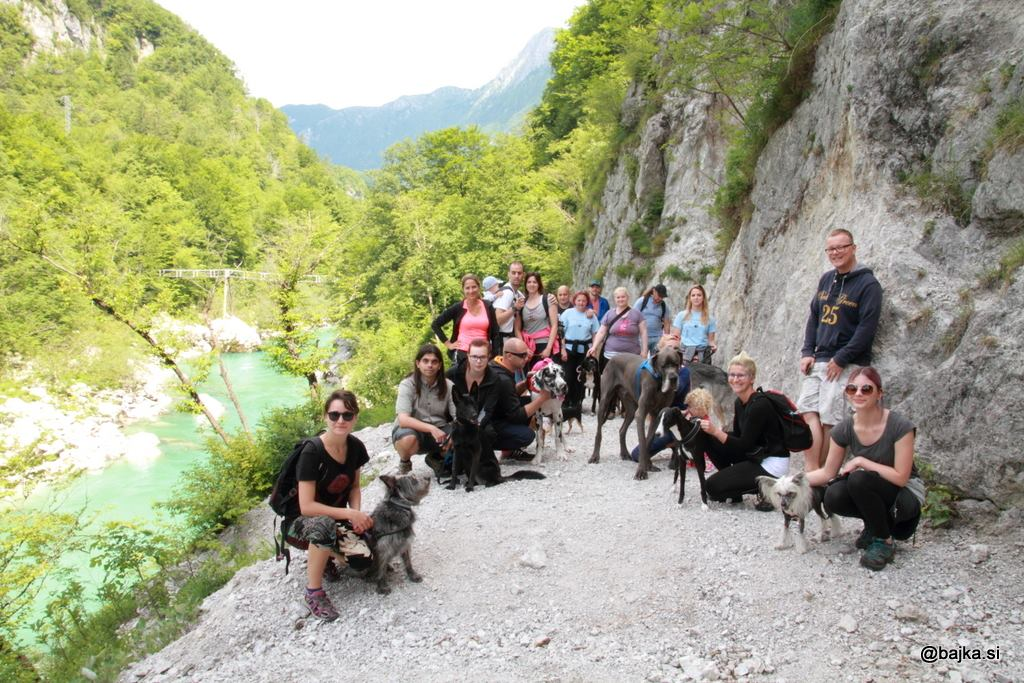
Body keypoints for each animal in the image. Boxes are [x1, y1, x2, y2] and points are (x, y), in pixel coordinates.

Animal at [589, 345, 683, 480]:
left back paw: (624, 453)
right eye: (663, 366)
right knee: (599, 432)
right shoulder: (641, 413)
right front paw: (641, 471)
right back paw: (595, 456)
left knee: (622, 430)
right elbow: (642, 442)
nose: (673, 378)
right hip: (605, 402)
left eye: (676, 364)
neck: (658, 382)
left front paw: (648, 465)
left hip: (631, 409)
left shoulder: (656, 415)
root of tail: (613, 358)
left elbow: (648, 441)